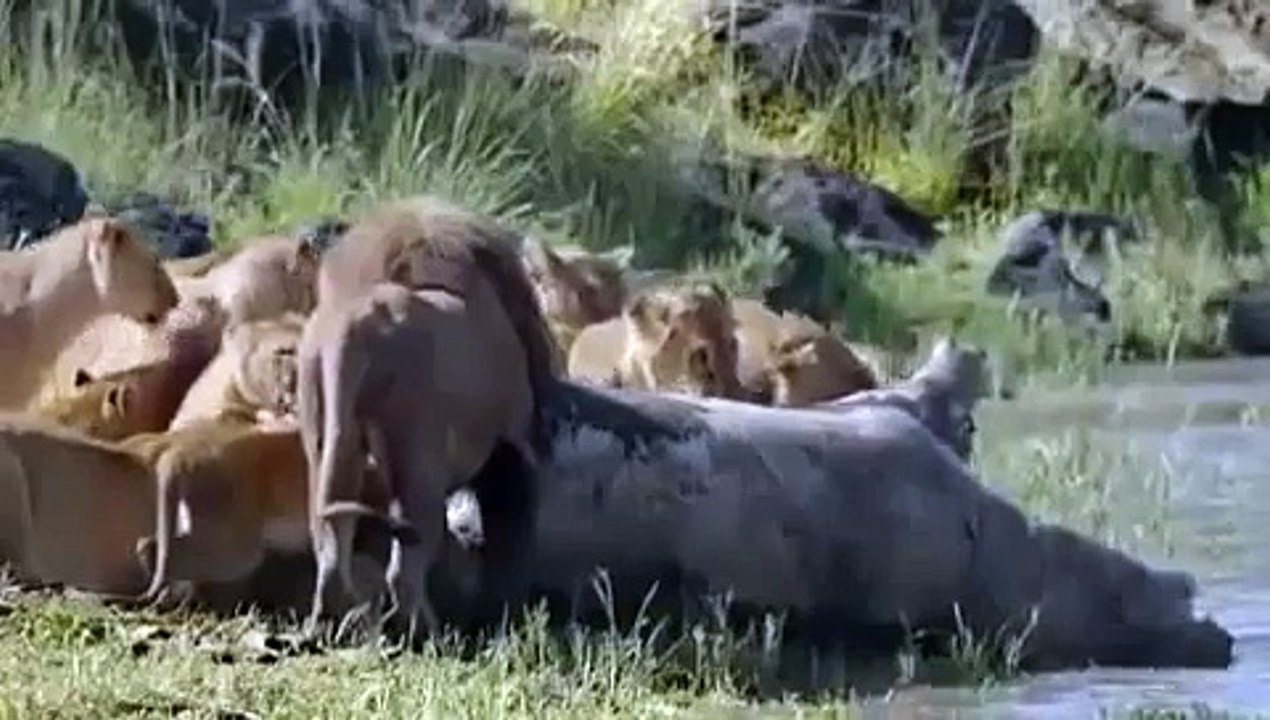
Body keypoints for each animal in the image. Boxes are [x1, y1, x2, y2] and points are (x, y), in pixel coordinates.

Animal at [299, 279, 537, 646]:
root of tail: (350, 330)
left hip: (326, 437)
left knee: (330, 551)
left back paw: (328, 630)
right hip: (417, 458)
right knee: (402, 572)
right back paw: (433, 638)